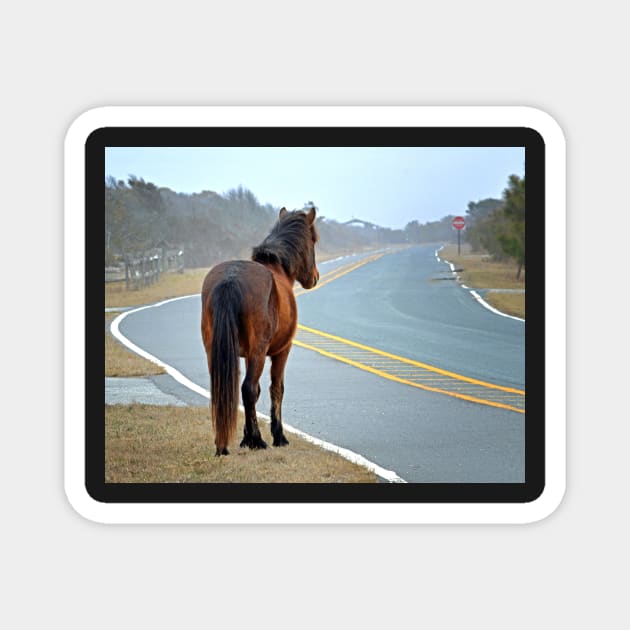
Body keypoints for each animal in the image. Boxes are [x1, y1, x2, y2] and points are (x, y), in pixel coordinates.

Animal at [202, 210, 320, 456]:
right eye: (313, 240)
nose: (315, 278)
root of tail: (230, 278)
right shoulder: (281, 351)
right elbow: (275, 389)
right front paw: (277, 436)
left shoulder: (247, 355)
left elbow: (255, 393)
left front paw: (246, 437)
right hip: (260, 352)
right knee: (248, 388)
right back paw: (258, 440)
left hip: (214, 350)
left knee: (224, 390)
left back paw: (222, 445)